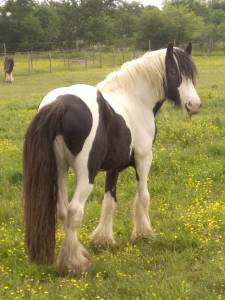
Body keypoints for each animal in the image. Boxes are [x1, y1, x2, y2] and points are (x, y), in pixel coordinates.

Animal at [23, 43, 201, 276]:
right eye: (173, 72)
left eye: (191, 73)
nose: (193, 105)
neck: (135, 99)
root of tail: (60, 104)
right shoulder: (144, 158)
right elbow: (143, 196)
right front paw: (143, 233)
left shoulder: (113, 167)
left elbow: (109, 201)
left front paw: (103, 239)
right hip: (85, 174)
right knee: (74, 210)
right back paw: (74, 264)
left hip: (59, 169)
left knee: (62, 210)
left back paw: (73, 255)